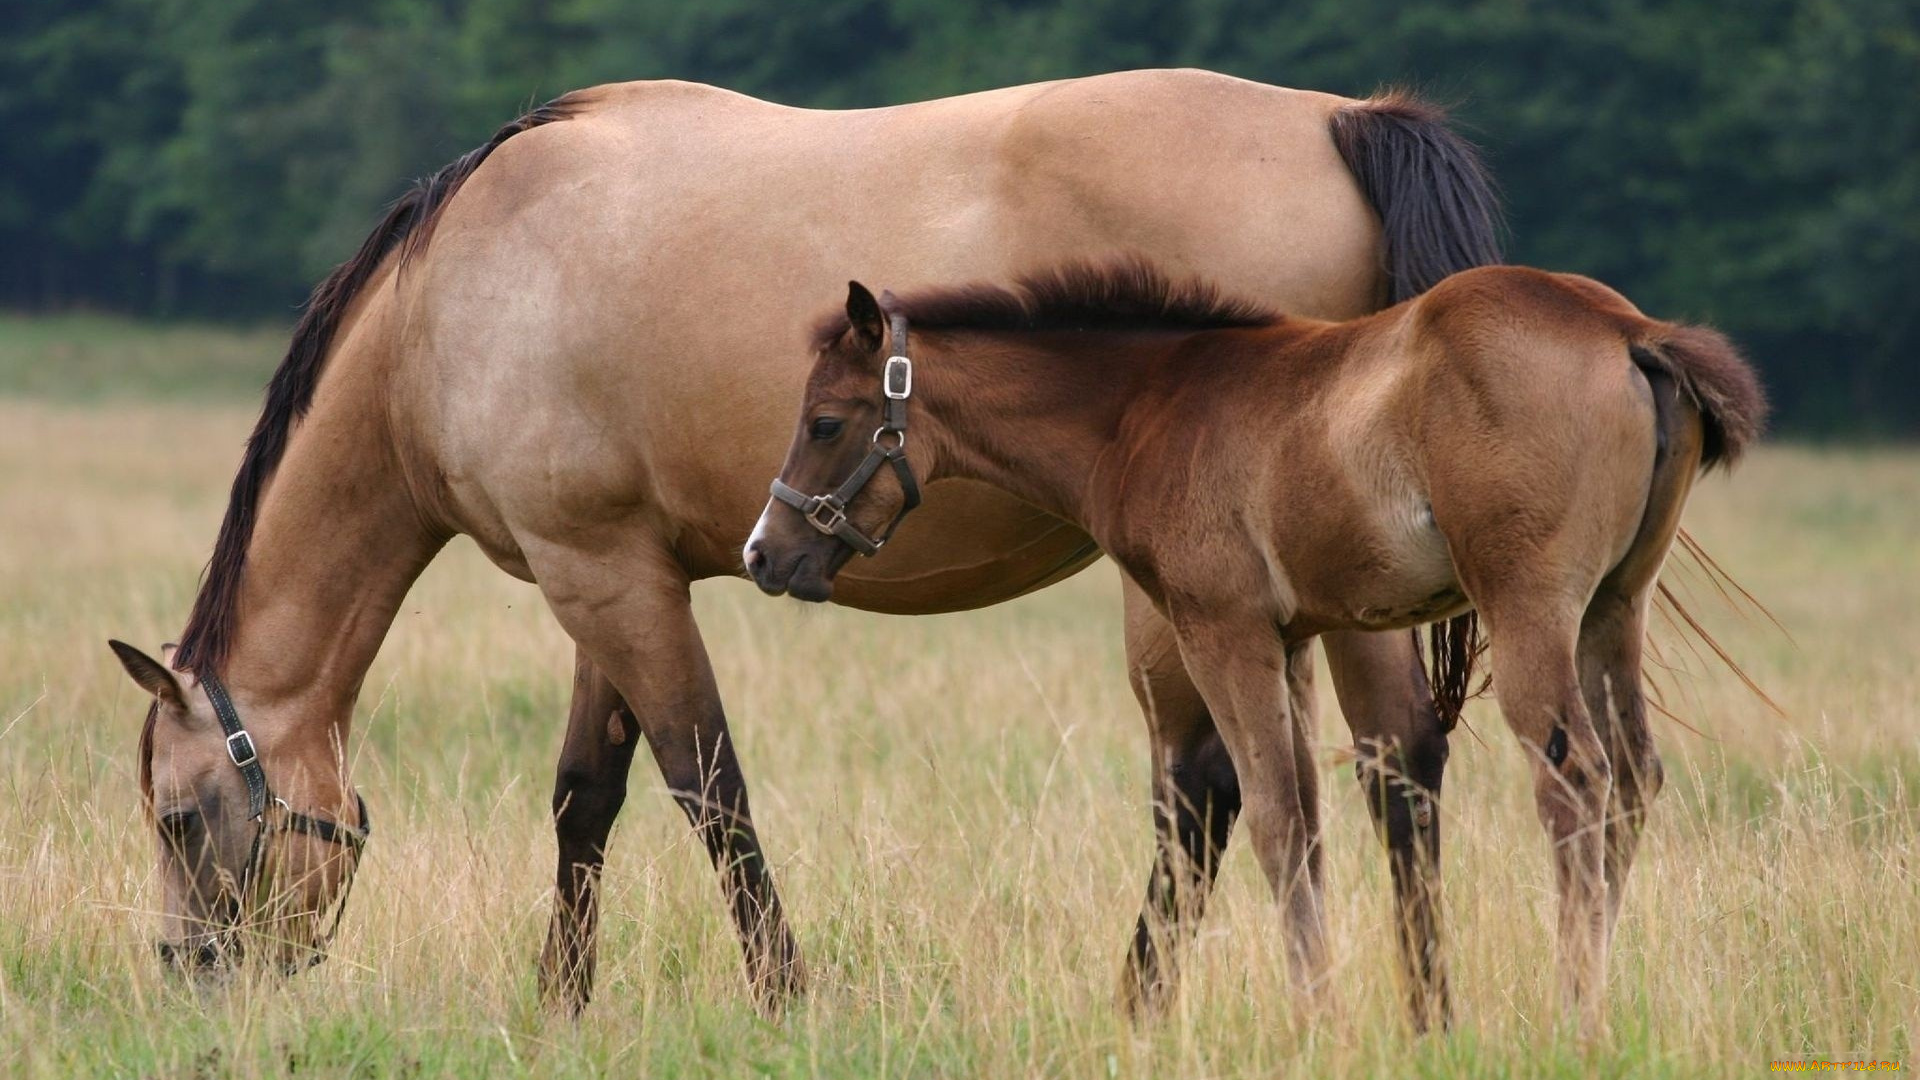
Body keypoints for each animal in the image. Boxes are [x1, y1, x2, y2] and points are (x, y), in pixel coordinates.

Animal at [112, 69, 1505, 1014]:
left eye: (179, 819)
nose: (190, 975)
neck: (451, 301)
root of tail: (1340, 119)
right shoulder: (610, 574)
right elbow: (586, 794)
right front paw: (560, 1001)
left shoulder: (600, 577)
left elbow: (706, 786)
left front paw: (783, 994)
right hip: (1333, 588)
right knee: (1394, 764)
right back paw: (1419, 1007)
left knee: (1211, 790)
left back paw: (1143, 1006)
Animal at [752, 255, 1766, 1030]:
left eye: (825, 422)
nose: (767, 552)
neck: (1145, 407)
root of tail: (1627, 331)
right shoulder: (1291, 640)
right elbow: (1308, 820)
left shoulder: (1222, 631)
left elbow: (1275, 818)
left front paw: (1314, 1015)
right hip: (1613, 610)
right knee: (1633, 778)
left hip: (1531, 611)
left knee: (1576, 779)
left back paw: (1574, 1010)